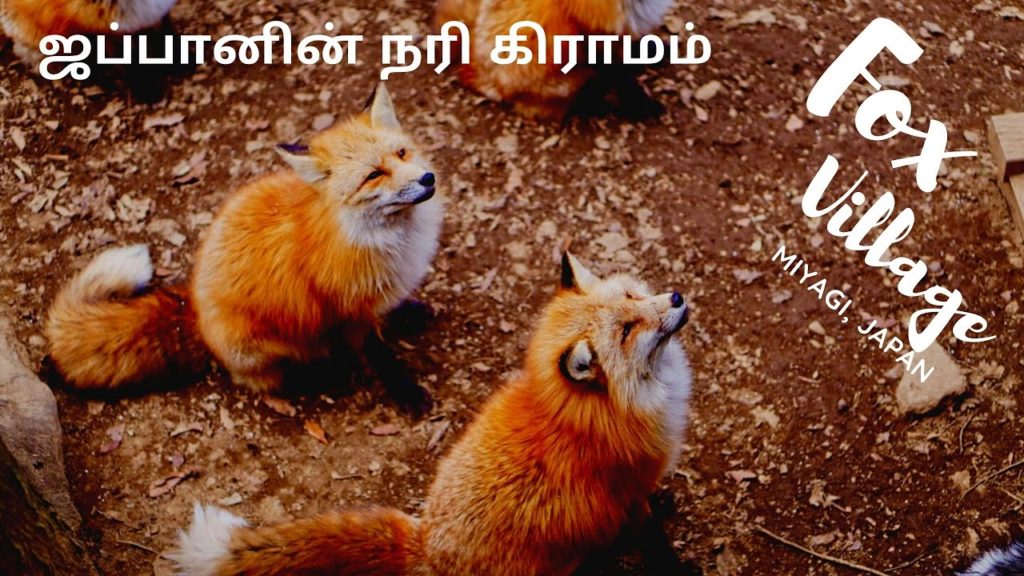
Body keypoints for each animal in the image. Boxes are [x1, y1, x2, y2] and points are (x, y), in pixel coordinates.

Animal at [45, 84, 444, 411]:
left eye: (402, 153)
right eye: (373, 175)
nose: (428, 179)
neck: (387, 240)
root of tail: (195, 311)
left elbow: (388, 313)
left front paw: (406, 311)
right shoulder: (349, 313)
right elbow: (380, 356)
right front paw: (406, 392)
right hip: (264, 348)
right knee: (264, 379)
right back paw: (319, 372)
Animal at [170, 252, 693, 576]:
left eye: (631, 297)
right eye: (627, 330)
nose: (677, 299)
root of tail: (423, 546)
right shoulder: (627, 492)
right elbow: (652, 539)